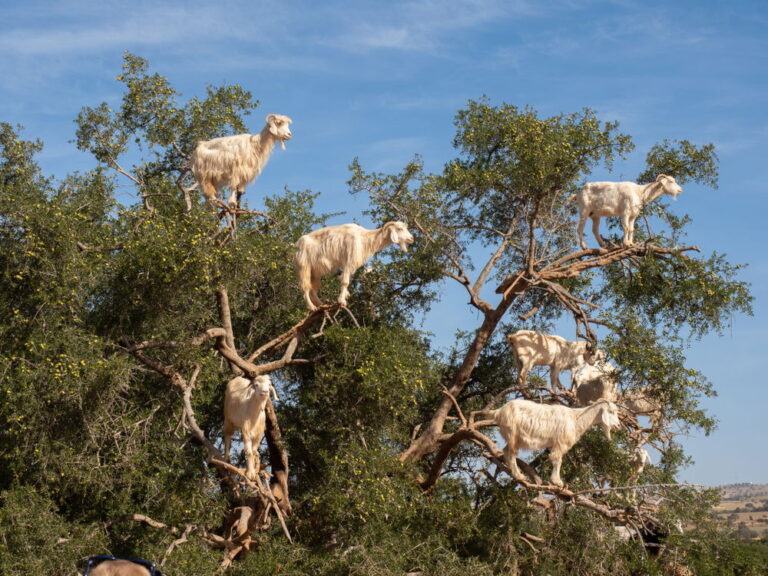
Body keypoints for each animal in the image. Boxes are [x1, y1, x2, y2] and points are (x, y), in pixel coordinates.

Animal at [488, 398, 620, 488]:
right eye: (611, 411)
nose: (618, 426)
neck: (576, 418)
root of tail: (499, 411)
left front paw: (556, 481)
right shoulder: (561, 443)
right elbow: (557, 460)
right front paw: (557, 482)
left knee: (506, 450)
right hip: (513, 434)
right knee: (511, 452)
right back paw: (518, 475)